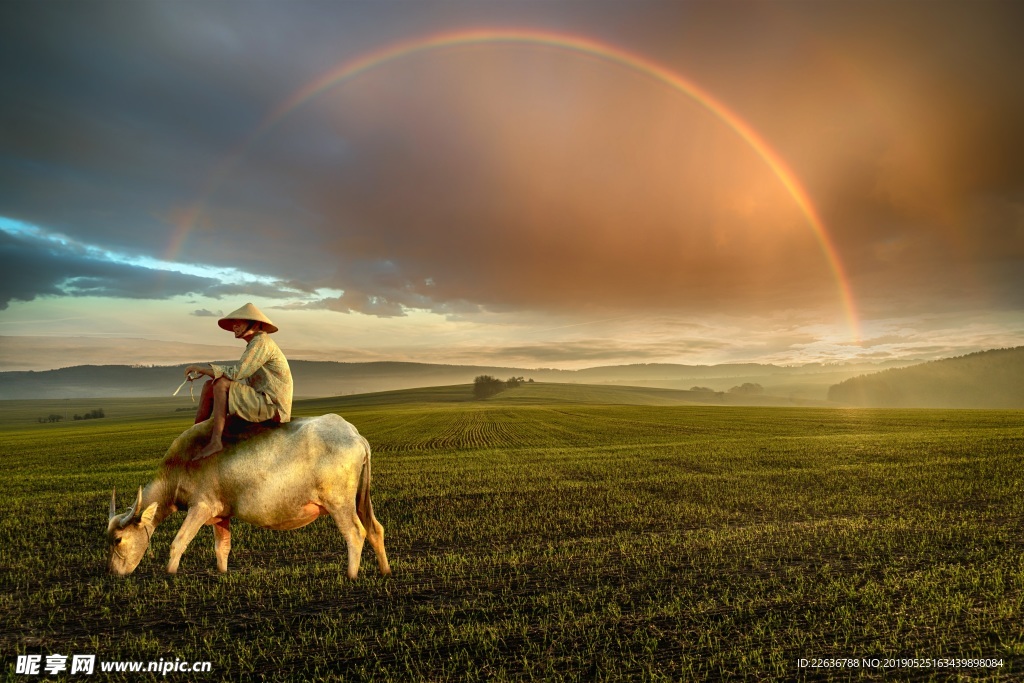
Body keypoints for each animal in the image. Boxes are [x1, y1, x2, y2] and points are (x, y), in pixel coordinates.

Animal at [105, 413, 387, 581]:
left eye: (118, 539)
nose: (113, 573)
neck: (183, 463)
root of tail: (354, 435)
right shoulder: (220, 515)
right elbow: (222, 548)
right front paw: (222, 574)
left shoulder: (201, 507)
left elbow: (179, 542)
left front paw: (169, 574)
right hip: (361, 500)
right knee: (375, 529)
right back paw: (385, 570)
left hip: (340, 504)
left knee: (355, 532)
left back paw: (351, 575)